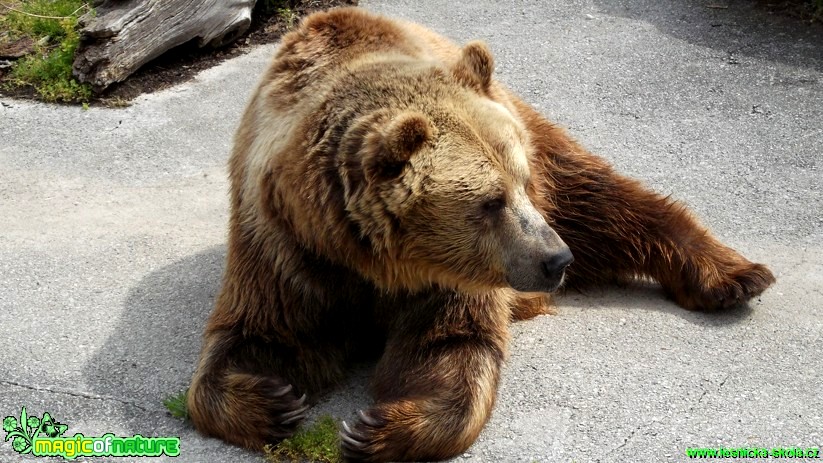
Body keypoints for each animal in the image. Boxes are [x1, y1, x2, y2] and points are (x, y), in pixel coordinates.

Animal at [188, 5, 780, 462]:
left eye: (518, 181)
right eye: (490, 202)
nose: (555, 260)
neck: (370, 259)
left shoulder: (453, 270)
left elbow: (452, 345)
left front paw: (376, 429)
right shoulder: (287, 248)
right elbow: (255, 335)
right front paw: (271, 399)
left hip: (540, 144)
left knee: (602, 199)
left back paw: (734, 276)